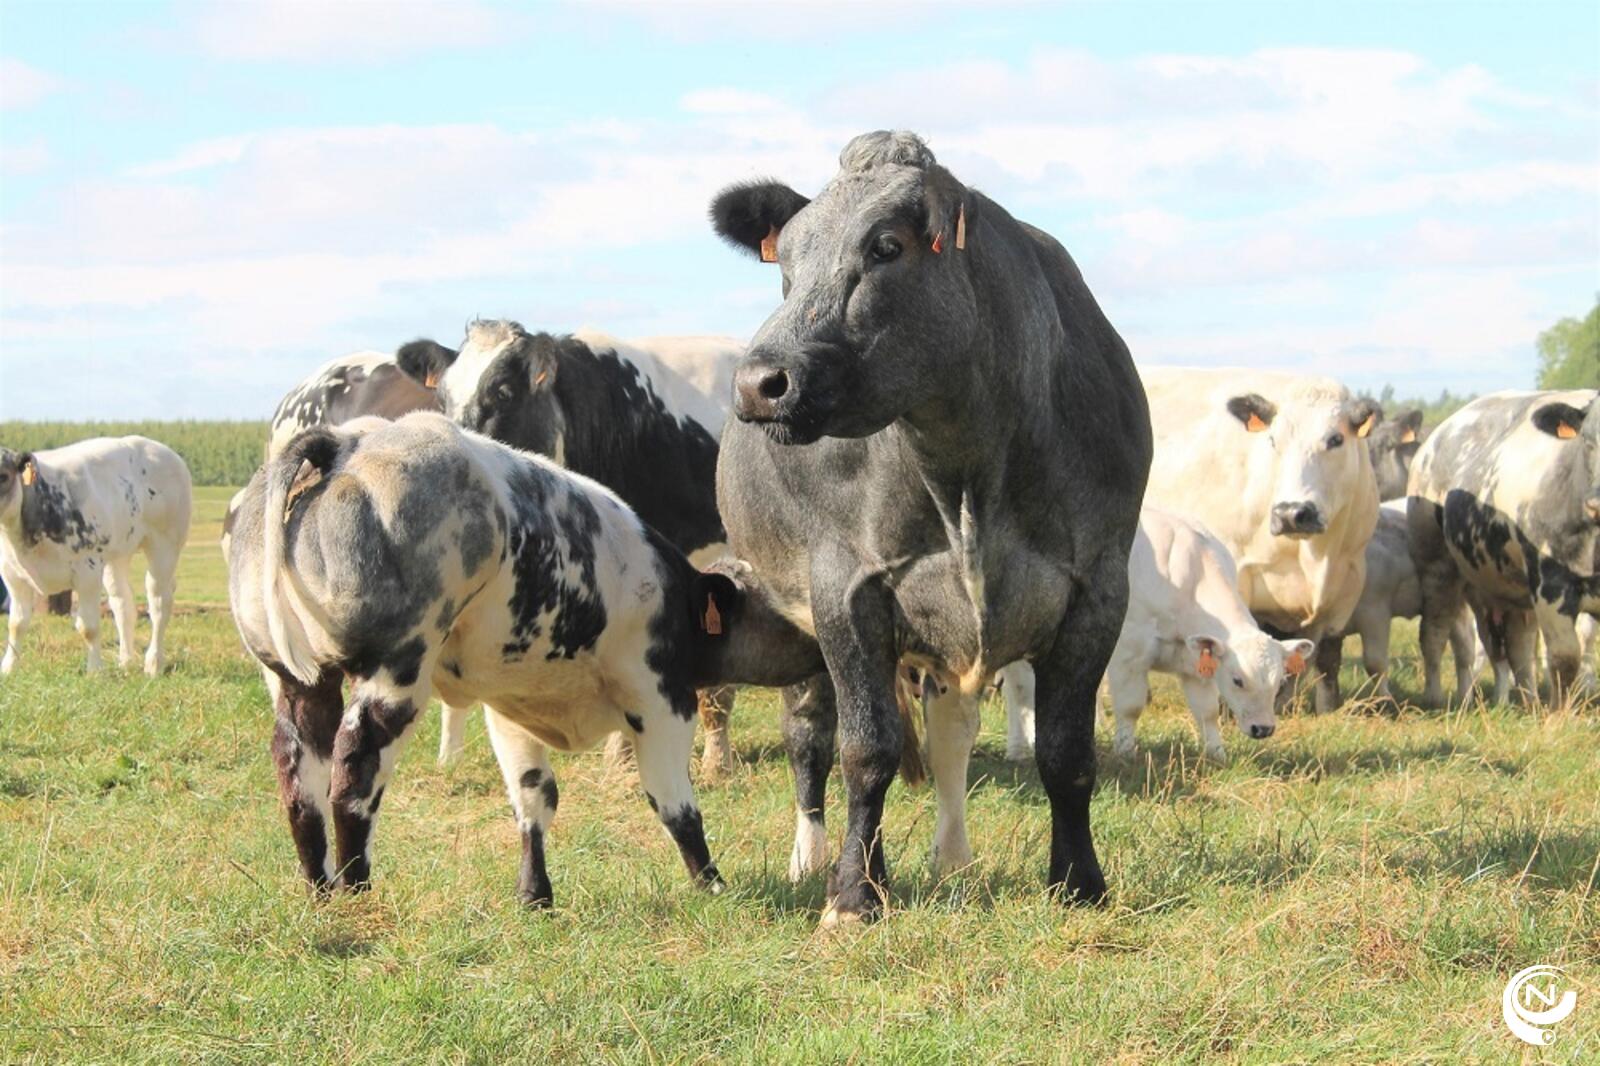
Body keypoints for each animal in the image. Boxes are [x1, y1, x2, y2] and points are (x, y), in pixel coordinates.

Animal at [0, 437, 191, 676]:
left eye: (3, 475)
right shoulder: (12, 574)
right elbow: (16, 624)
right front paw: (8, 667)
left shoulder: (87, 570)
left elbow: (88, 627)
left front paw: (94, 671)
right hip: (116, 555)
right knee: (122, 603)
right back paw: (125, 661)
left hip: (165, 545)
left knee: (159, 603)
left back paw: (153, 664)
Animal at [224, 413, 821, 905]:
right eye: (774, 602)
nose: (819, 643)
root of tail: (346, 443)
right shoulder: (662, 699)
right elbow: (673, 801)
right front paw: (712, 884)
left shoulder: (508, 706)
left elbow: (534, 797)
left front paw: (535, 895)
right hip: (397, 670)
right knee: (354, 771)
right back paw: (356, 889)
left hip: (296, 681)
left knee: (298, 775)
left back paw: (321, 889)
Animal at [708, 130, 1152, 923]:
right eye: (785, 262)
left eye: (886, 246)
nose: (760, 383)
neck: (967, 467)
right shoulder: (845, 587)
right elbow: (866, 751)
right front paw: (853, 897)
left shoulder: (1098, 588)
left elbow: (1067, 754)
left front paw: (1079, 882)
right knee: (813, 736)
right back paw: (819, 860)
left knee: (946, 742)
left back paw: (948, 859)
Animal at [1140, 369, 1382, 712]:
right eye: (1272, 441)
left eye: (1336, 439)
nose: (1292, 513)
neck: (1310, 556)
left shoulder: (1347, 584)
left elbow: (1325, 659)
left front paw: (1326, 710)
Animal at [1408, 390, 1600, 705]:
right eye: (1587, 440)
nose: (1596, 502)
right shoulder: (1550, 585)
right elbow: (1564, 658)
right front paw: (1562, 712)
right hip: (1437, 567)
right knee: (1435, 633)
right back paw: (1436, 699)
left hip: (1506, 587)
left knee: (1517, 646)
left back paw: (1529, 702)